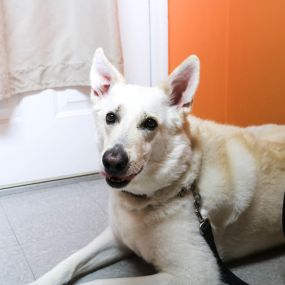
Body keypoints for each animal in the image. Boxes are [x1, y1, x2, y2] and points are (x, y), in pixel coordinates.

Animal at [29, 49, 284, 284]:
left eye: (150, 123)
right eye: (111, 117)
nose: (112, 161)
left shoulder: (193, 274)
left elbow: (99, 282)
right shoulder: (117, 236)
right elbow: (71, 260)